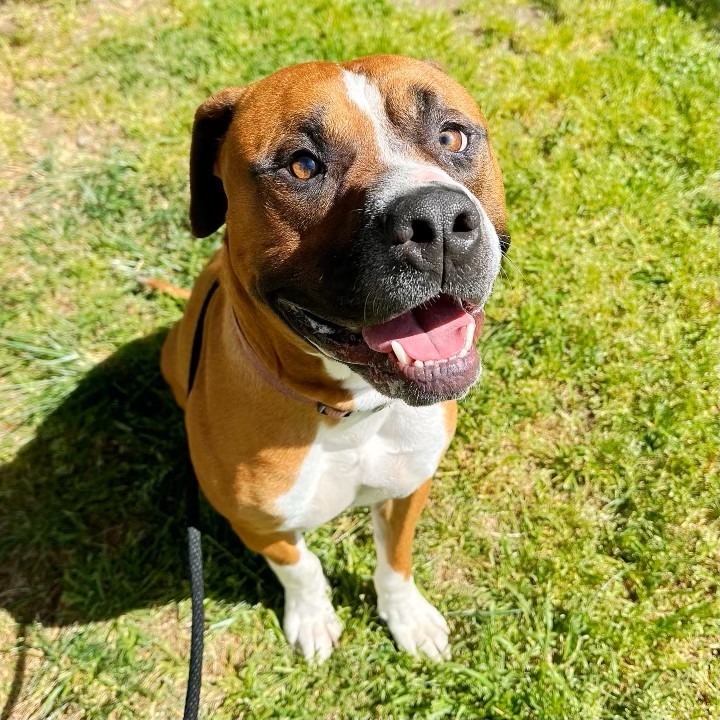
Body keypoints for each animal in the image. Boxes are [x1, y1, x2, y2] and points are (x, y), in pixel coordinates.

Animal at [161, 54, 510, 664]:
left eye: (452, 136)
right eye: (302, 166)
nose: (438, 220)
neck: (350, 410)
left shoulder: (408, 491)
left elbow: (395, 562)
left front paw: (407, 616)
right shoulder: (258, 524)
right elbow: (301, 567)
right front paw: (312, 617)